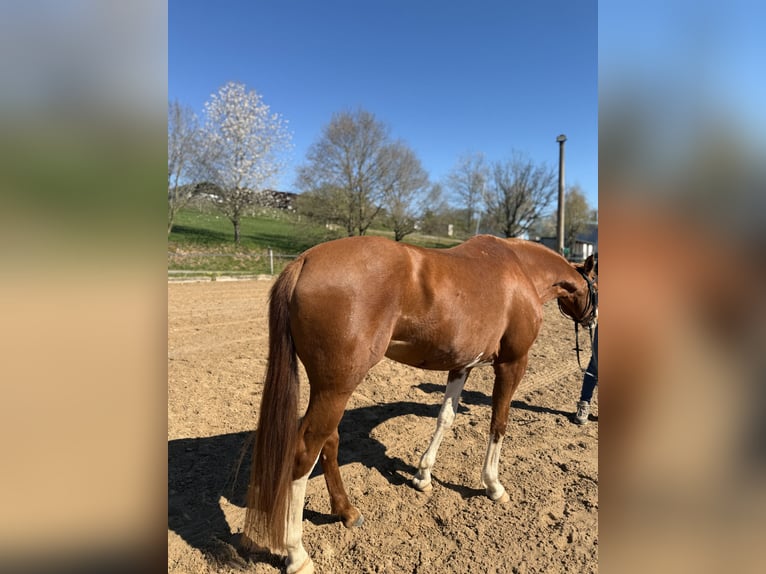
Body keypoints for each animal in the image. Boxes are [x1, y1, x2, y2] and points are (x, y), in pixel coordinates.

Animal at [242, 234, 597, 574]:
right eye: (595, 284)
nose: (593, 321)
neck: (521, 269)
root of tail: (304, 260)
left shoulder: (463, 364)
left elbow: (446, 417)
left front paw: (423, 475)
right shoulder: (513, 364)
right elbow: (499, 422)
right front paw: (493, 485)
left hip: (331, 388)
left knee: (329, 440)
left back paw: (347, 512)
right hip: (336, 388)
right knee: (305, 452)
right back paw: (296, 554)